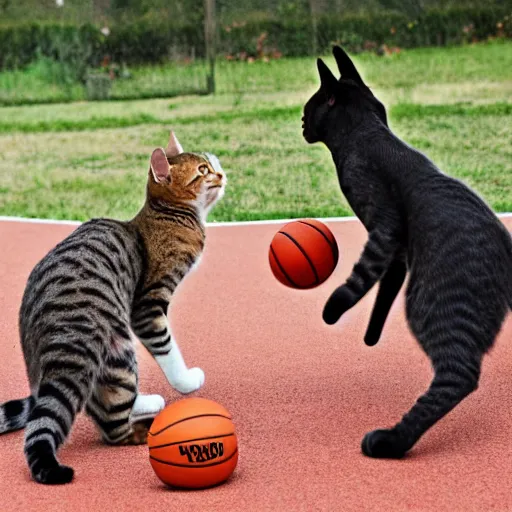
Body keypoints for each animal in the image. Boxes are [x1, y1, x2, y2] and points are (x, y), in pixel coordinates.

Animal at [0, 132, 226, 484]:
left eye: (212, 164)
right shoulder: (147, 307)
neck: (168, 217)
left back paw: (145, 403)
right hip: (117, 349)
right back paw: (146, 426)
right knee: (112, 427)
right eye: (203, 170)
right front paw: (187, 382)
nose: (222, 173)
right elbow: (169, 351)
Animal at [302, 46, 510, 458]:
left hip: (427, 305)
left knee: (459, 374)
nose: (301, 123)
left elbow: (361, 276)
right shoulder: (397, 251)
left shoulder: (383, 227)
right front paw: (371, 334)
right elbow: (384, 285)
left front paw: (333, 310)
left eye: (309, 108)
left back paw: (391, 440)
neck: (367, 131)